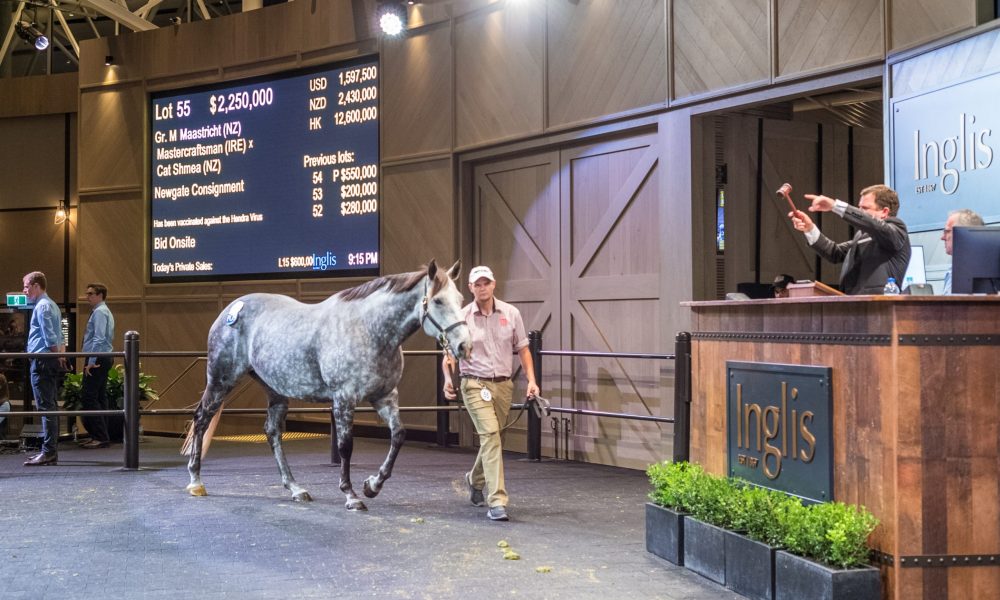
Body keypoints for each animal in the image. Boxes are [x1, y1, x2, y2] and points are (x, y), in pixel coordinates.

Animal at [183, 260, 472, 510]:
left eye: (460, 300)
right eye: (438, 301)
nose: (464, 346)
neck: (369, 330)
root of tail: (231, 309)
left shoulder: (385, 396)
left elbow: (399, 435)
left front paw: (372, 486)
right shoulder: (344, 399)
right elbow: (345, 446)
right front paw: (351, 495)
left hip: (275, 390)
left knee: (272, 432)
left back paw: (296, 488)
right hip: (221, 379)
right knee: (201, 419)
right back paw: (196, 481)